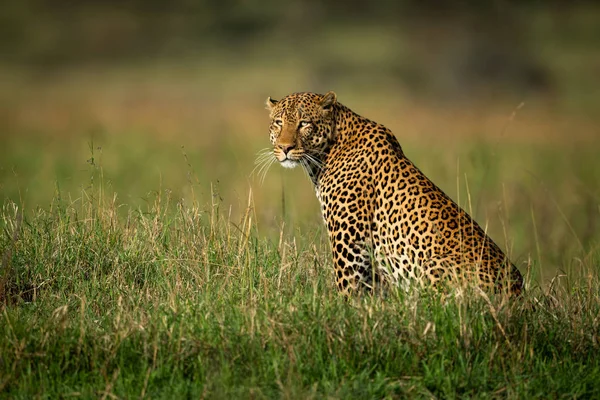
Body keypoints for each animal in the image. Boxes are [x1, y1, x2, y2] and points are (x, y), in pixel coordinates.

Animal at [260, 91, 524, 296]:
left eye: (304, 123)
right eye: (278, 122)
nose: (285, 148)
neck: (325, 155)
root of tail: (519, 296)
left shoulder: (350, 246)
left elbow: (348, 294)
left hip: (434, 266)